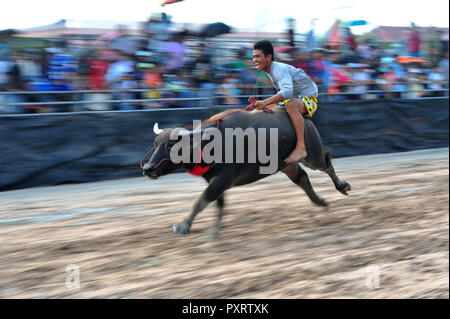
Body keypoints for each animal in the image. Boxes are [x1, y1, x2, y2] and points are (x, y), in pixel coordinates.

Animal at [142, 104, 352, 239]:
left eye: (171, 145)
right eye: (155, 143)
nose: (147, 168)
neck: (210, 143)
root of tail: (305, 118)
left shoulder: (222, 180)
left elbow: (200, 202)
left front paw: (183, 226)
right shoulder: (217, 182)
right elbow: (218, 206)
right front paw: (214, 233)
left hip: (312, 155)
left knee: (326, 163)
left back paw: (342, 186)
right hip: (286, 164)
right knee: (302, 178)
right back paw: (321, 202)